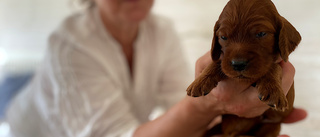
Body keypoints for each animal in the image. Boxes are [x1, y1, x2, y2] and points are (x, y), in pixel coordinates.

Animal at [186, 0, 302, 136]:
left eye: (261, 34)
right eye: (223, 37)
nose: (238, 64)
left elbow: (274, 67)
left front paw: (273, 89)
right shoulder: (224, 60)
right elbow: (217, 63)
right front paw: (200, 81)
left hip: (273, 126)